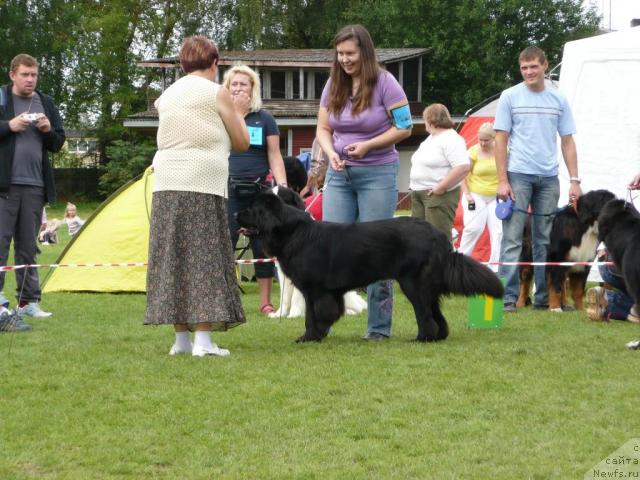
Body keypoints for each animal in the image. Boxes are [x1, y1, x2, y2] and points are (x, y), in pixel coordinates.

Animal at [236, 189, 504, 344]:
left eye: (251, 209)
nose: (237, 213)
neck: (291, 232)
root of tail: (438, 235)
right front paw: (315, 335)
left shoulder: (316, 290)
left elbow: (314, 315)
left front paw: (309, 337)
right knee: (435, 312)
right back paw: (438, 337)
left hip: (413, 282)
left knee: (424, 313)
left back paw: (422, 338)